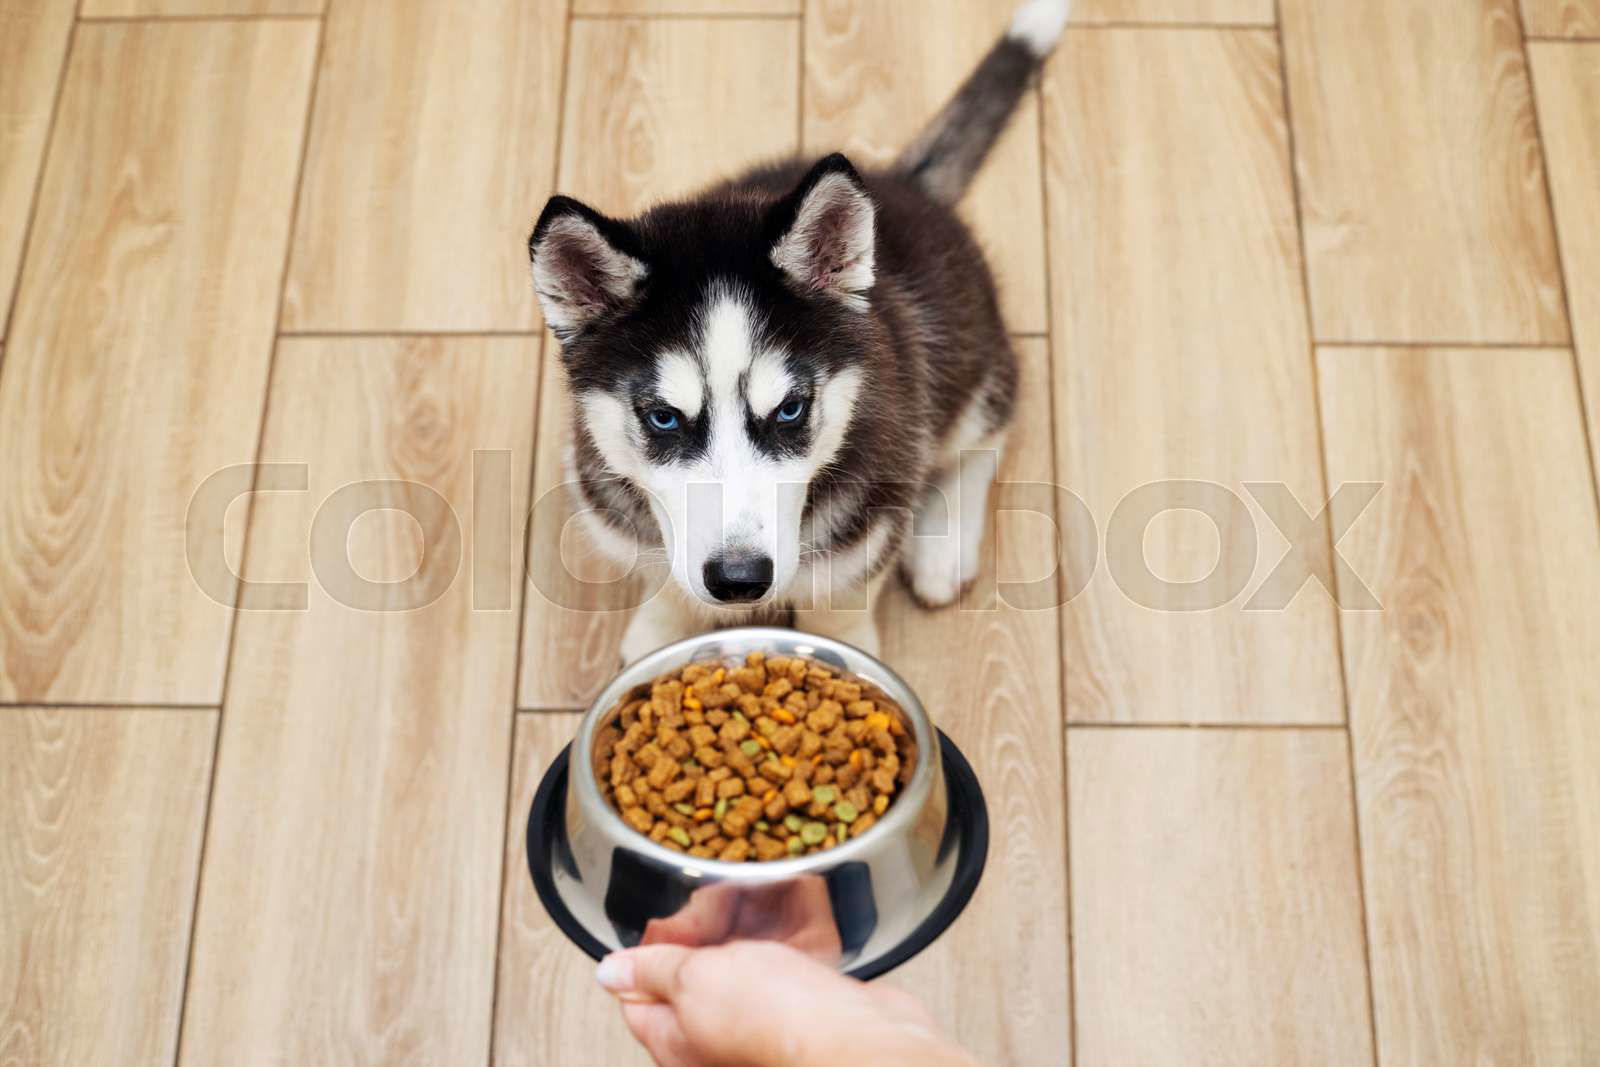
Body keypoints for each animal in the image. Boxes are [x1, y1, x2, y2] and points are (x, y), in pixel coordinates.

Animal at [531, 0, 1068, 662]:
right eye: (663, 418)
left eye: (790, 410)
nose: (739, 580)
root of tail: (901, 184)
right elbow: (664, 572)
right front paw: (661, 628)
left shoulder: (872, 515)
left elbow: (843, 596)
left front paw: (844, 652)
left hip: (970, 361)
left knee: (983, 434)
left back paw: (944, 546)